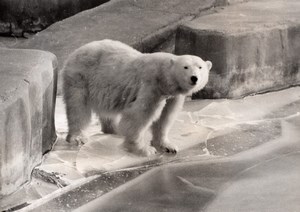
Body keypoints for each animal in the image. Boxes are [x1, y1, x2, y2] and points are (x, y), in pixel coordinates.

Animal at [61, 39, 211, 156]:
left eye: (200, 67)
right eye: (185, 67)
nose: (194, 78)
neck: (163, 77)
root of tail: (75, 52)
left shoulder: (172, 97)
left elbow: (165, 117)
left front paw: (167, 146)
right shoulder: (151, 87)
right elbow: (139, 115)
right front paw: (144, 150)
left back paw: (115, 129)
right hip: (80, 77)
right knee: (78, 107)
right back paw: (78, 137)